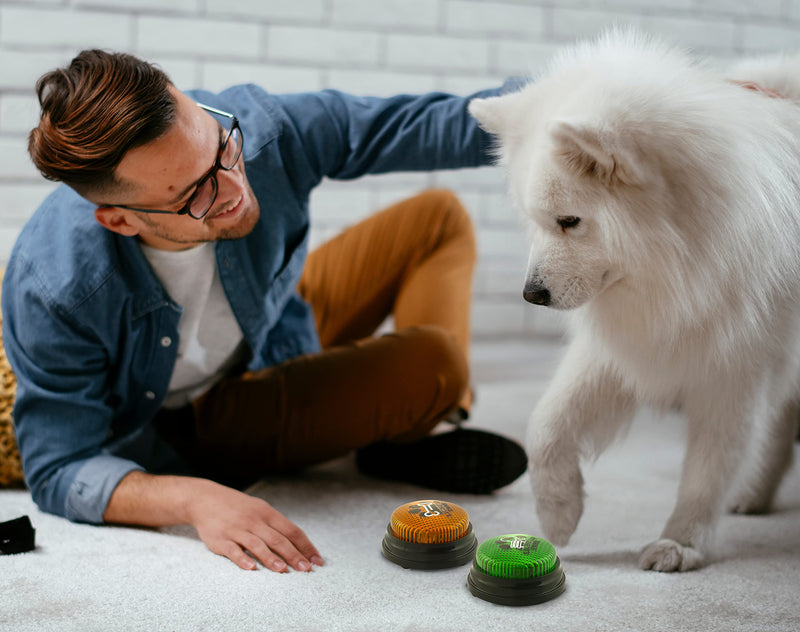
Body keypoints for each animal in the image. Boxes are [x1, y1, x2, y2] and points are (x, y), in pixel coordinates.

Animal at [468, 30, 800, 572]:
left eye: (569, 221)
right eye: (534, 220)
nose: (531, 294)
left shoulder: (737, 364)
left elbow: (710, 463)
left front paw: (682, 542)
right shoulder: (630, 341)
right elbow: (546, 424)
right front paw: (558, 513)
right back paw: (754, 495)